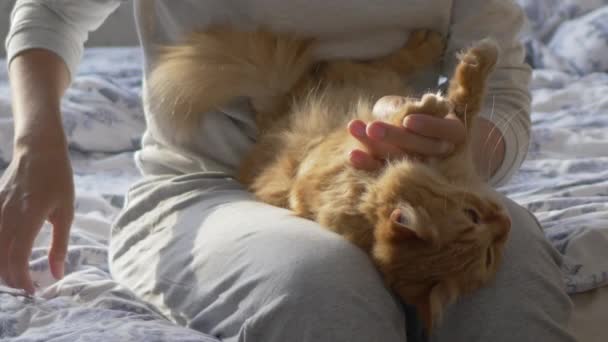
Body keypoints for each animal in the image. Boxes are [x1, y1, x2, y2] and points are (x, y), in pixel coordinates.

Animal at [150, 28, 510, 328]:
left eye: (490, 256)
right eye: (472, 216)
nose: (505, 223)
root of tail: (274, 113)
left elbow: (459, 107)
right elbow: (461, 102)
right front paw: (471, 67)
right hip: (364, 75)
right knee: (391, 61)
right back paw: (428, 45)